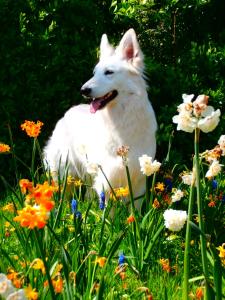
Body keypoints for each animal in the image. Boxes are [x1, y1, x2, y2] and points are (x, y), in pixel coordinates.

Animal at [43, 28, 156, 204]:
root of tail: (68, 112)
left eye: (109, 72)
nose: (83, 90)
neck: (122, 119)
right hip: (63, 172)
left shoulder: (138, 180)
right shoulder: (107, 179)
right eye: (94, 73)